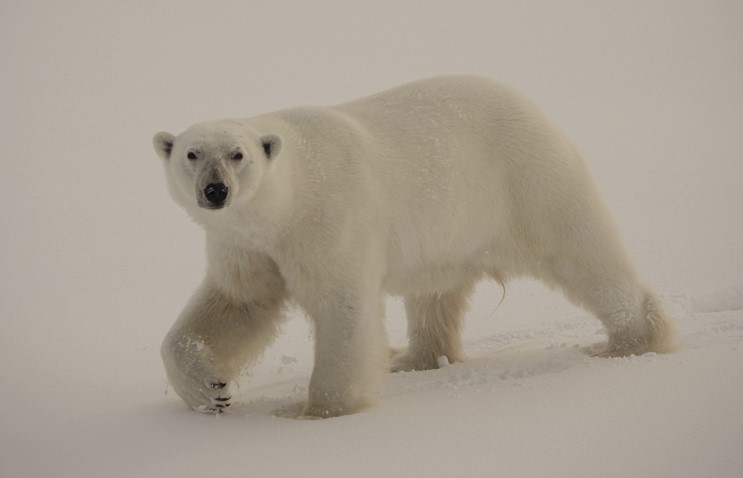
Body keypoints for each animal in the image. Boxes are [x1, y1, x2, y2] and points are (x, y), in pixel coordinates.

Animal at [153, 75, 675, 417]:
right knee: (435, 295)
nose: (215, 191)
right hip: (454, 227)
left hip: (529, 181)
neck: (289, 201)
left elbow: (342, 306)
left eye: (237, 154)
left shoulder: (328, 221)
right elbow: (236, 306)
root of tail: (532, 105)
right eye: (192, 153)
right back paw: (415, 358)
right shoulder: (247, 246)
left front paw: (318, 411)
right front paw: (212, 391)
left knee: (583, 255)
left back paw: (633, 339)